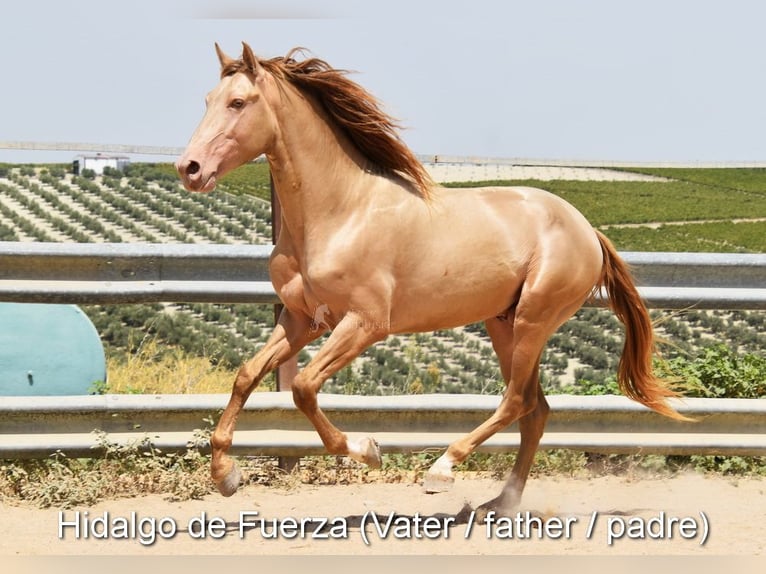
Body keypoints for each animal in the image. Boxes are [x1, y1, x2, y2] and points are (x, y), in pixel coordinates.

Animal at [177, 42, 689, 514]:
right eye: (206, 99)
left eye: (238, 102)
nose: (189, 169)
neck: (341, 212)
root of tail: (587, 230)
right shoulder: (303, 320)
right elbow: (246, 376)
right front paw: (225, 476)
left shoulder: (365, 324)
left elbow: (303, 387)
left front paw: (368, 450)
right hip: (503, 324)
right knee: (535, 409)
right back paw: (500, 503)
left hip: (533, 321)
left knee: (516, 402)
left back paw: (442, 469)